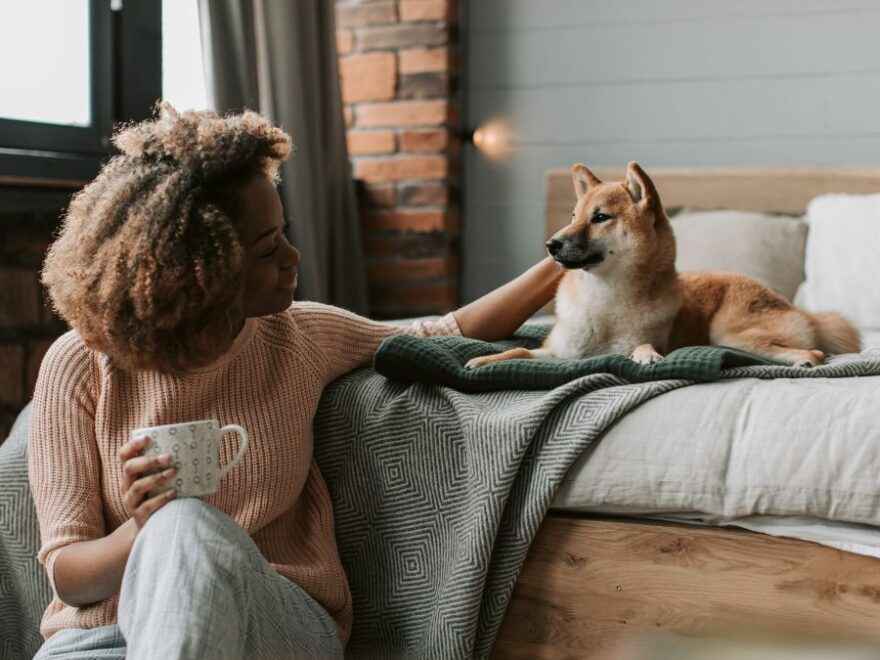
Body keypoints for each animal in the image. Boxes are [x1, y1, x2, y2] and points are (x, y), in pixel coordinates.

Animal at [468, 159, 860, 366]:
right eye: (574, 216)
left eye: (600, 217)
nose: (550, 245)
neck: (604, 300)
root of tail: (800, 310)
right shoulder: (557, 353)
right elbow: (518, 348)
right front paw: (482, 360)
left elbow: (642, 346)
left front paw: (647, 356)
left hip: (730, 330)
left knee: (815, 351)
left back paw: (803, 358)